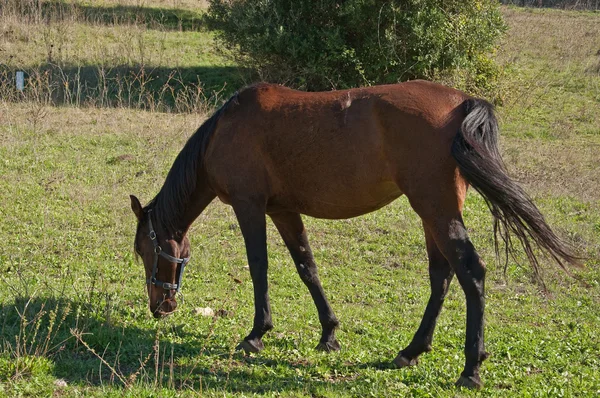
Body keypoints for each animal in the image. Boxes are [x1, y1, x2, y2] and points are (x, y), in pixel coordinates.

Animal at [130, 80, 576, 388]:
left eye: (144, 251)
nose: (160, 307)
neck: (225, 130)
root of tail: (461, 102)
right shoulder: (283, 210)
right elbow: (306, 267)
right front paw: (328, 334)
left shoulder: (249, 205)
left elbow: (259, 267)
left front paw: (257, 334)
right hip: (433, 214)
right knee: (442, 276)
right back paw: (411, 351)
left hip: (436, 209)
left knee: (472, 273)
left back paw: (470, 368)